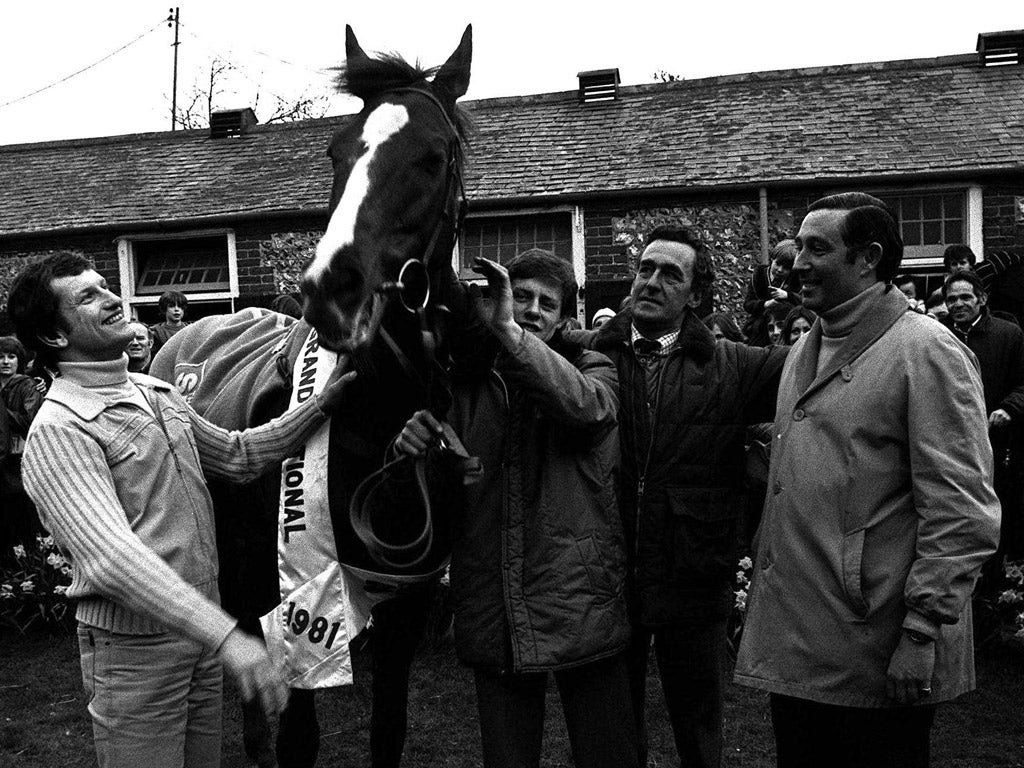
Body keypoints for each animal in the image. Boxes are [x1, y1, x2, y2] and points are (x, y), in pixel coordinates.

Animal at [150, 24, 475, 768]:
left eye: (433, 156)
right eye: (337, 151)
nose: (332, 287)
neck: (383, 426)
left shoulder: (408, 604)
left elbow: (389, 730)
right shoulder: (294, 589)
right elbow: (298, 734)